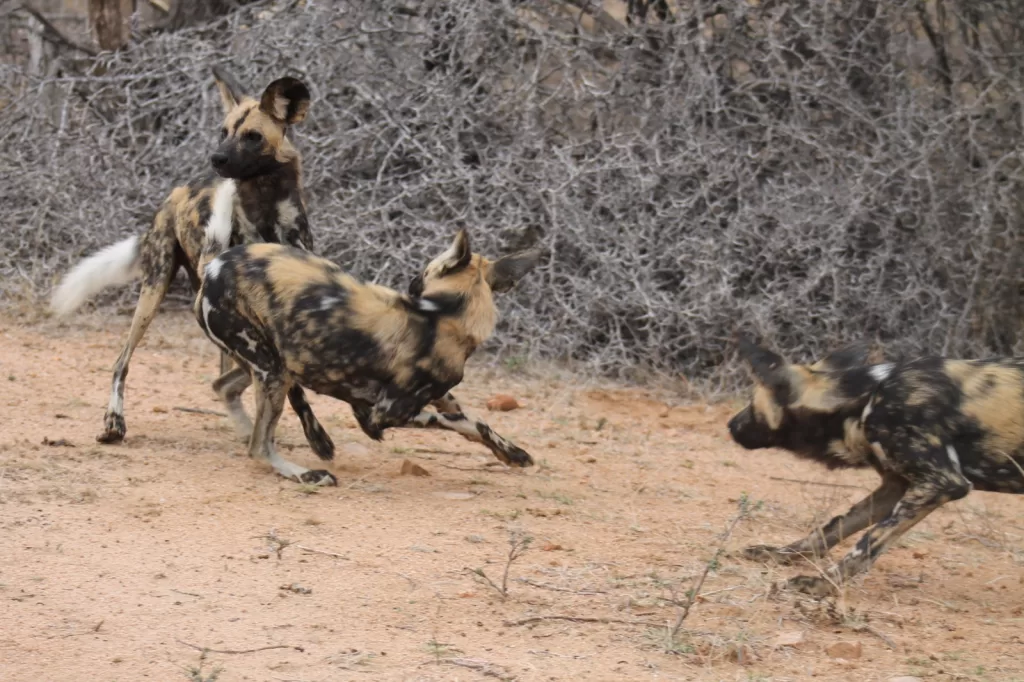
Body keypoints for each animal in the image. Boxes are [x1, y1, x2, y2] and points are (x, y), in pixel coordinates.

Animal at [48, 67, 331, 456]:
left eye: (253, 136)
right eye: (223, 132)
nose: (217, 158)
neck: (266, 209)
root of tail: (176, 192)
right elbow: (293, 386)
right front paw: (315, 436)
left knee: (230, 371)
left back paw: (244, 424)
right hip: (153, 293)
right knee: (121, 362)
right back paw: (114, 423)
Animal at [193, 228, 544, 483]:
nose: (411, 282)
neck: (444, 316)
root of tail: (213, 267)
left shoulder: (431, 396)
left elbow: (472, 418)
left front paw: (511, 453)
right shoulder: (381, 415)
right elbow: (469, 423)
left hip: (271, 364)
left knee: (225, 388)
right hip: (273, 371)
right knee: (259, 446)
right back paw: (306, 473)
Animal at [724, 333, 1024, 593]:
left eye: (751, 403)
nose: (730, 425)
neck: (867, 399)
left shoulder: (942, 483)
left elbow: (868, 543)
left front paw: (821, 585)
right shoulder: (894, 489)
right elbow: (832, 528)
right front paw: (783, 553)